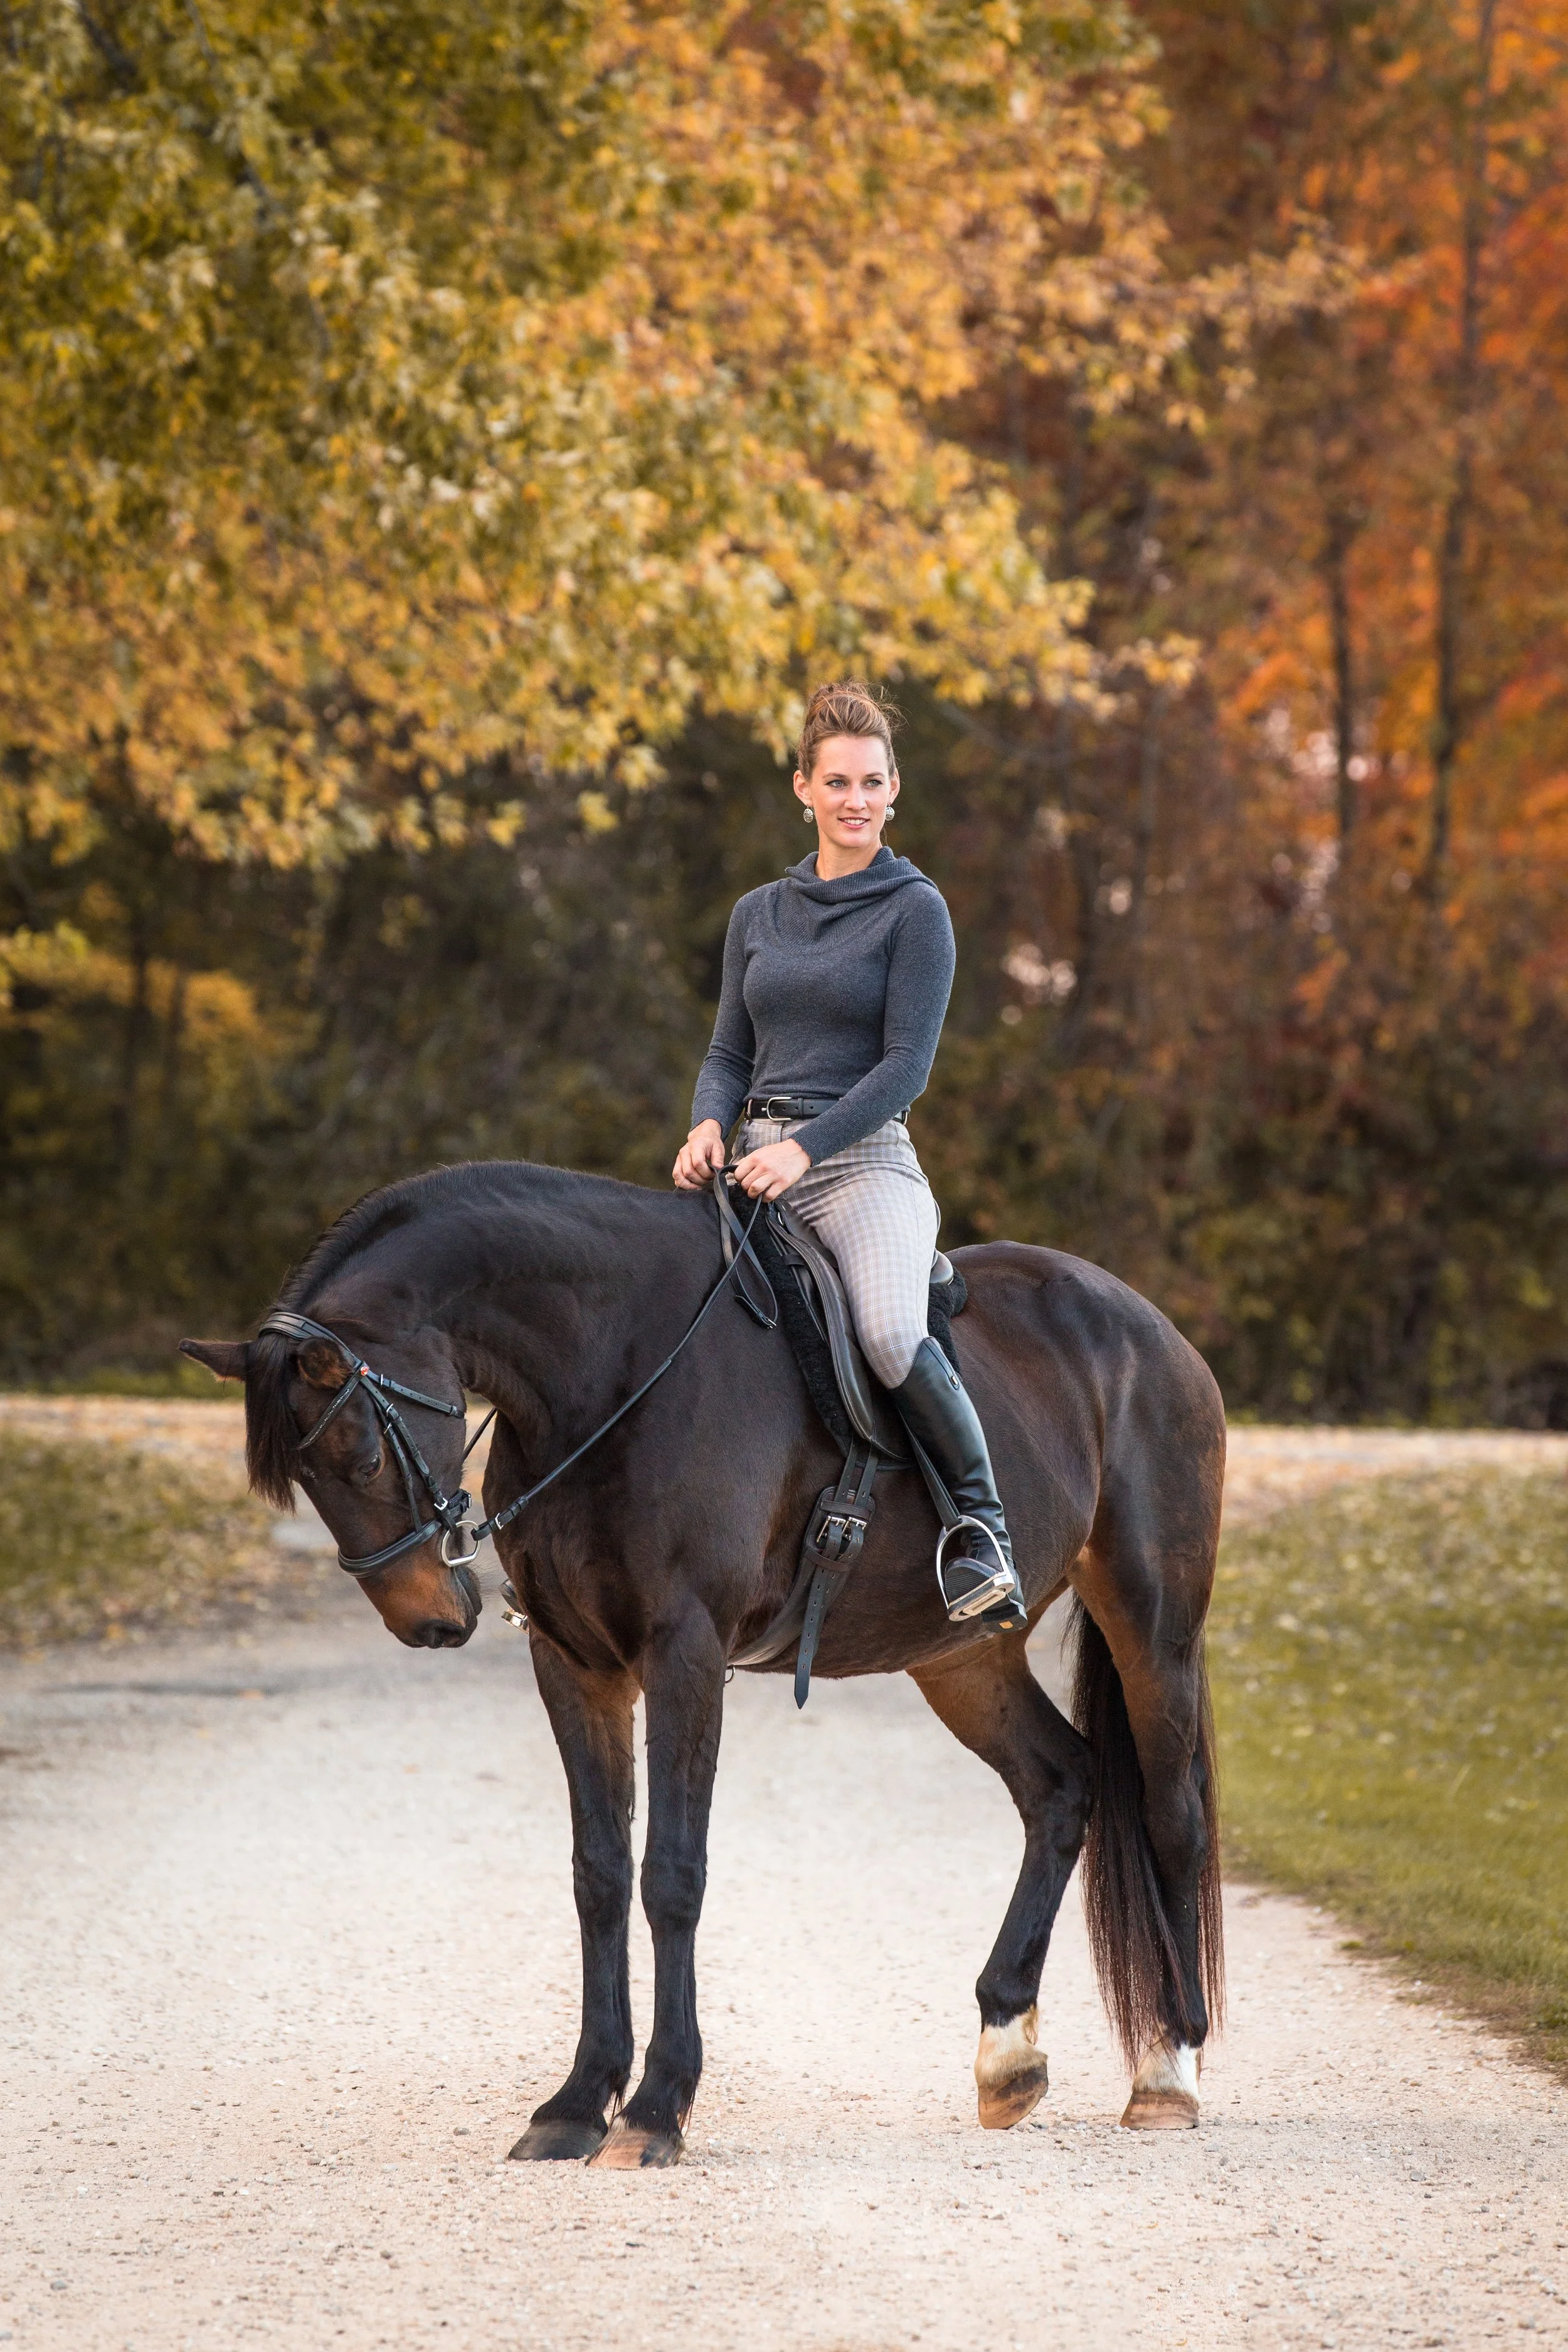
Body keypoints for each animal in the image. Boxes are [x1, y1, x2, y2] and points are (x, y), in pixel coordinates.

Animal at [181, 1157, 1225, 2167]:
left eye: (360, 1455)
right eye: (304, 1480)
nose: (429, 1621)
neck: (609, 1366)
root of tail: (1148, 1326)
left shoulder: (683, 1654)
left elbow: (672, 1875)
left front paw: (655, 2109)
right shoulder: (576, 1663)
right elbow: (600, 1872)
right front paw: (575, 2104)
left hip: (1153, 1627)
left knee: (1171, 1816)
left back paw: (1167, 2075)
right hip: (963, 1657)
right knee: (1059, 1784)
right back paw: (1008, 2051)